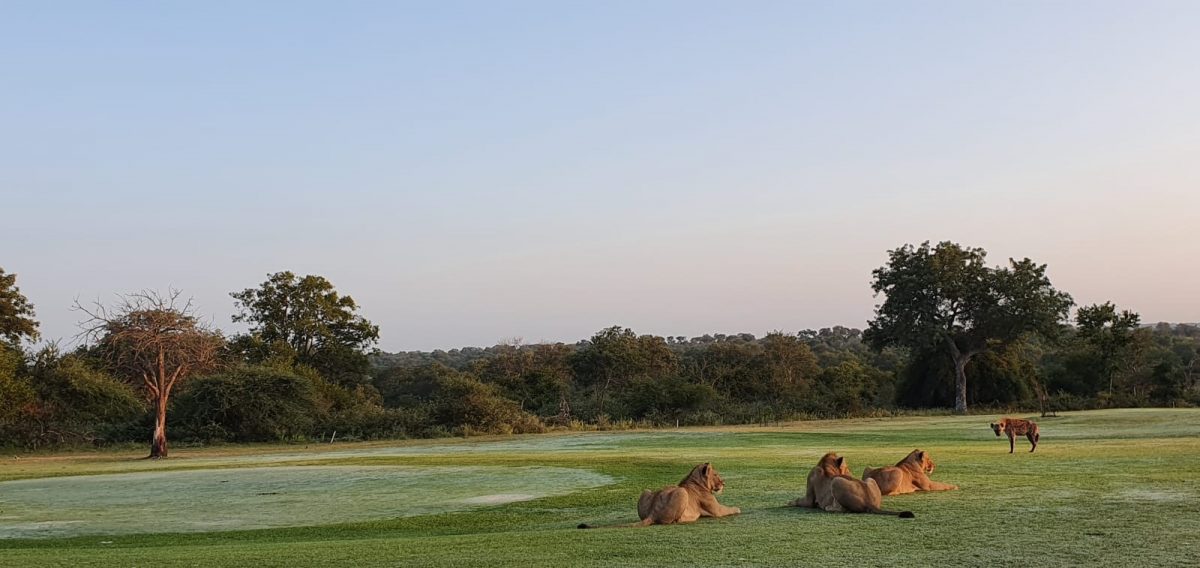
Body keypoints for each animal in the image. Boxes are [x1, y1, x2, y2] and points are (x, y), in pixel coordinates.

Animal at [576, 461, 734, 525]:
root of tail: (652, 513)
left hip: (646, 491)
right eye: (716, 475)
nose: (724, 483)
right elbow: (733, 509)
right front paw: (737, 508)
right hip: (682, 492)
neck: (695, 480)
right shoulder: (717, 510)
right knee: (674, 521)